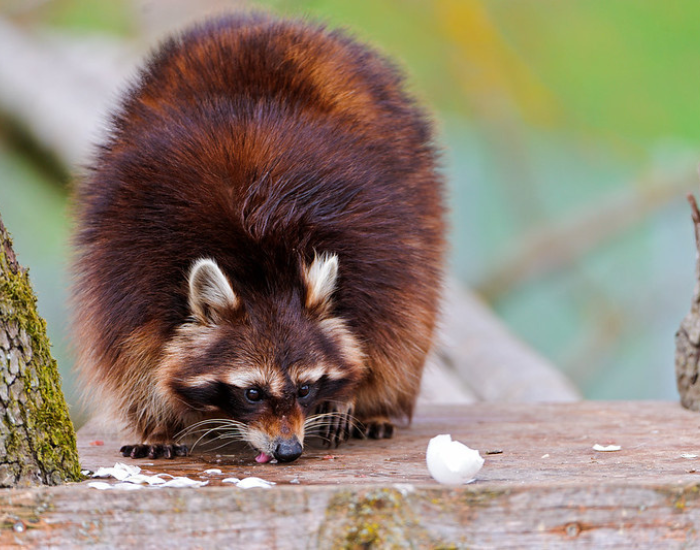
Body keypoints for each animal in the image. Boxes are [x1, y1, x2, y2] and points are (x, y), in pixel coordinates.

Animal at [71, 13, 445, 463]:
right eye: (253, 393)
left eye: (304, 388)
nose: (288, 450)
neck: (262, 271)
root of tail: (267, 23)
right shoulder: (131, 256)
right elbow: (130, 347)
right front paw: (156, 420)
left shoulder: (376, 244)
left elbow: (386, 327)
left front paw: (349, 395)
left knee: (410, 326)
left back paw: (377, 405)